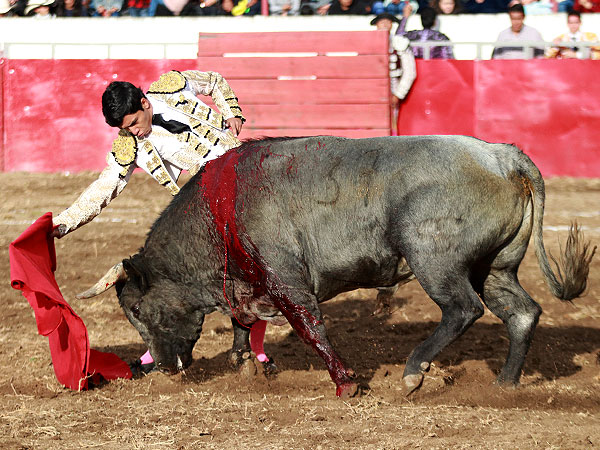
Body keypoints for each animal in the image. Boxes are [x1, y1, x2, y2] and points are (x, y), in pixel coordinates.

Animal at [78, 135, 596, 396]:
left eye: (136, 311)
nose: (163, 367)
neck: (218, 210)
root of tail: (505, 157)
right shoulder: (249, 283)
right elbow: (242, 324)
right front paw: (245, 364)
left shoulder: (288, 281)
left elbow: (310, 327)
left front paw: (345, 382)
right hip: (495, 267)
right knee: (522, 313)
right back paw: (505, 385)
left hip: (435, 259)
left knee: (463, 310)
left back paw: (413, 372)